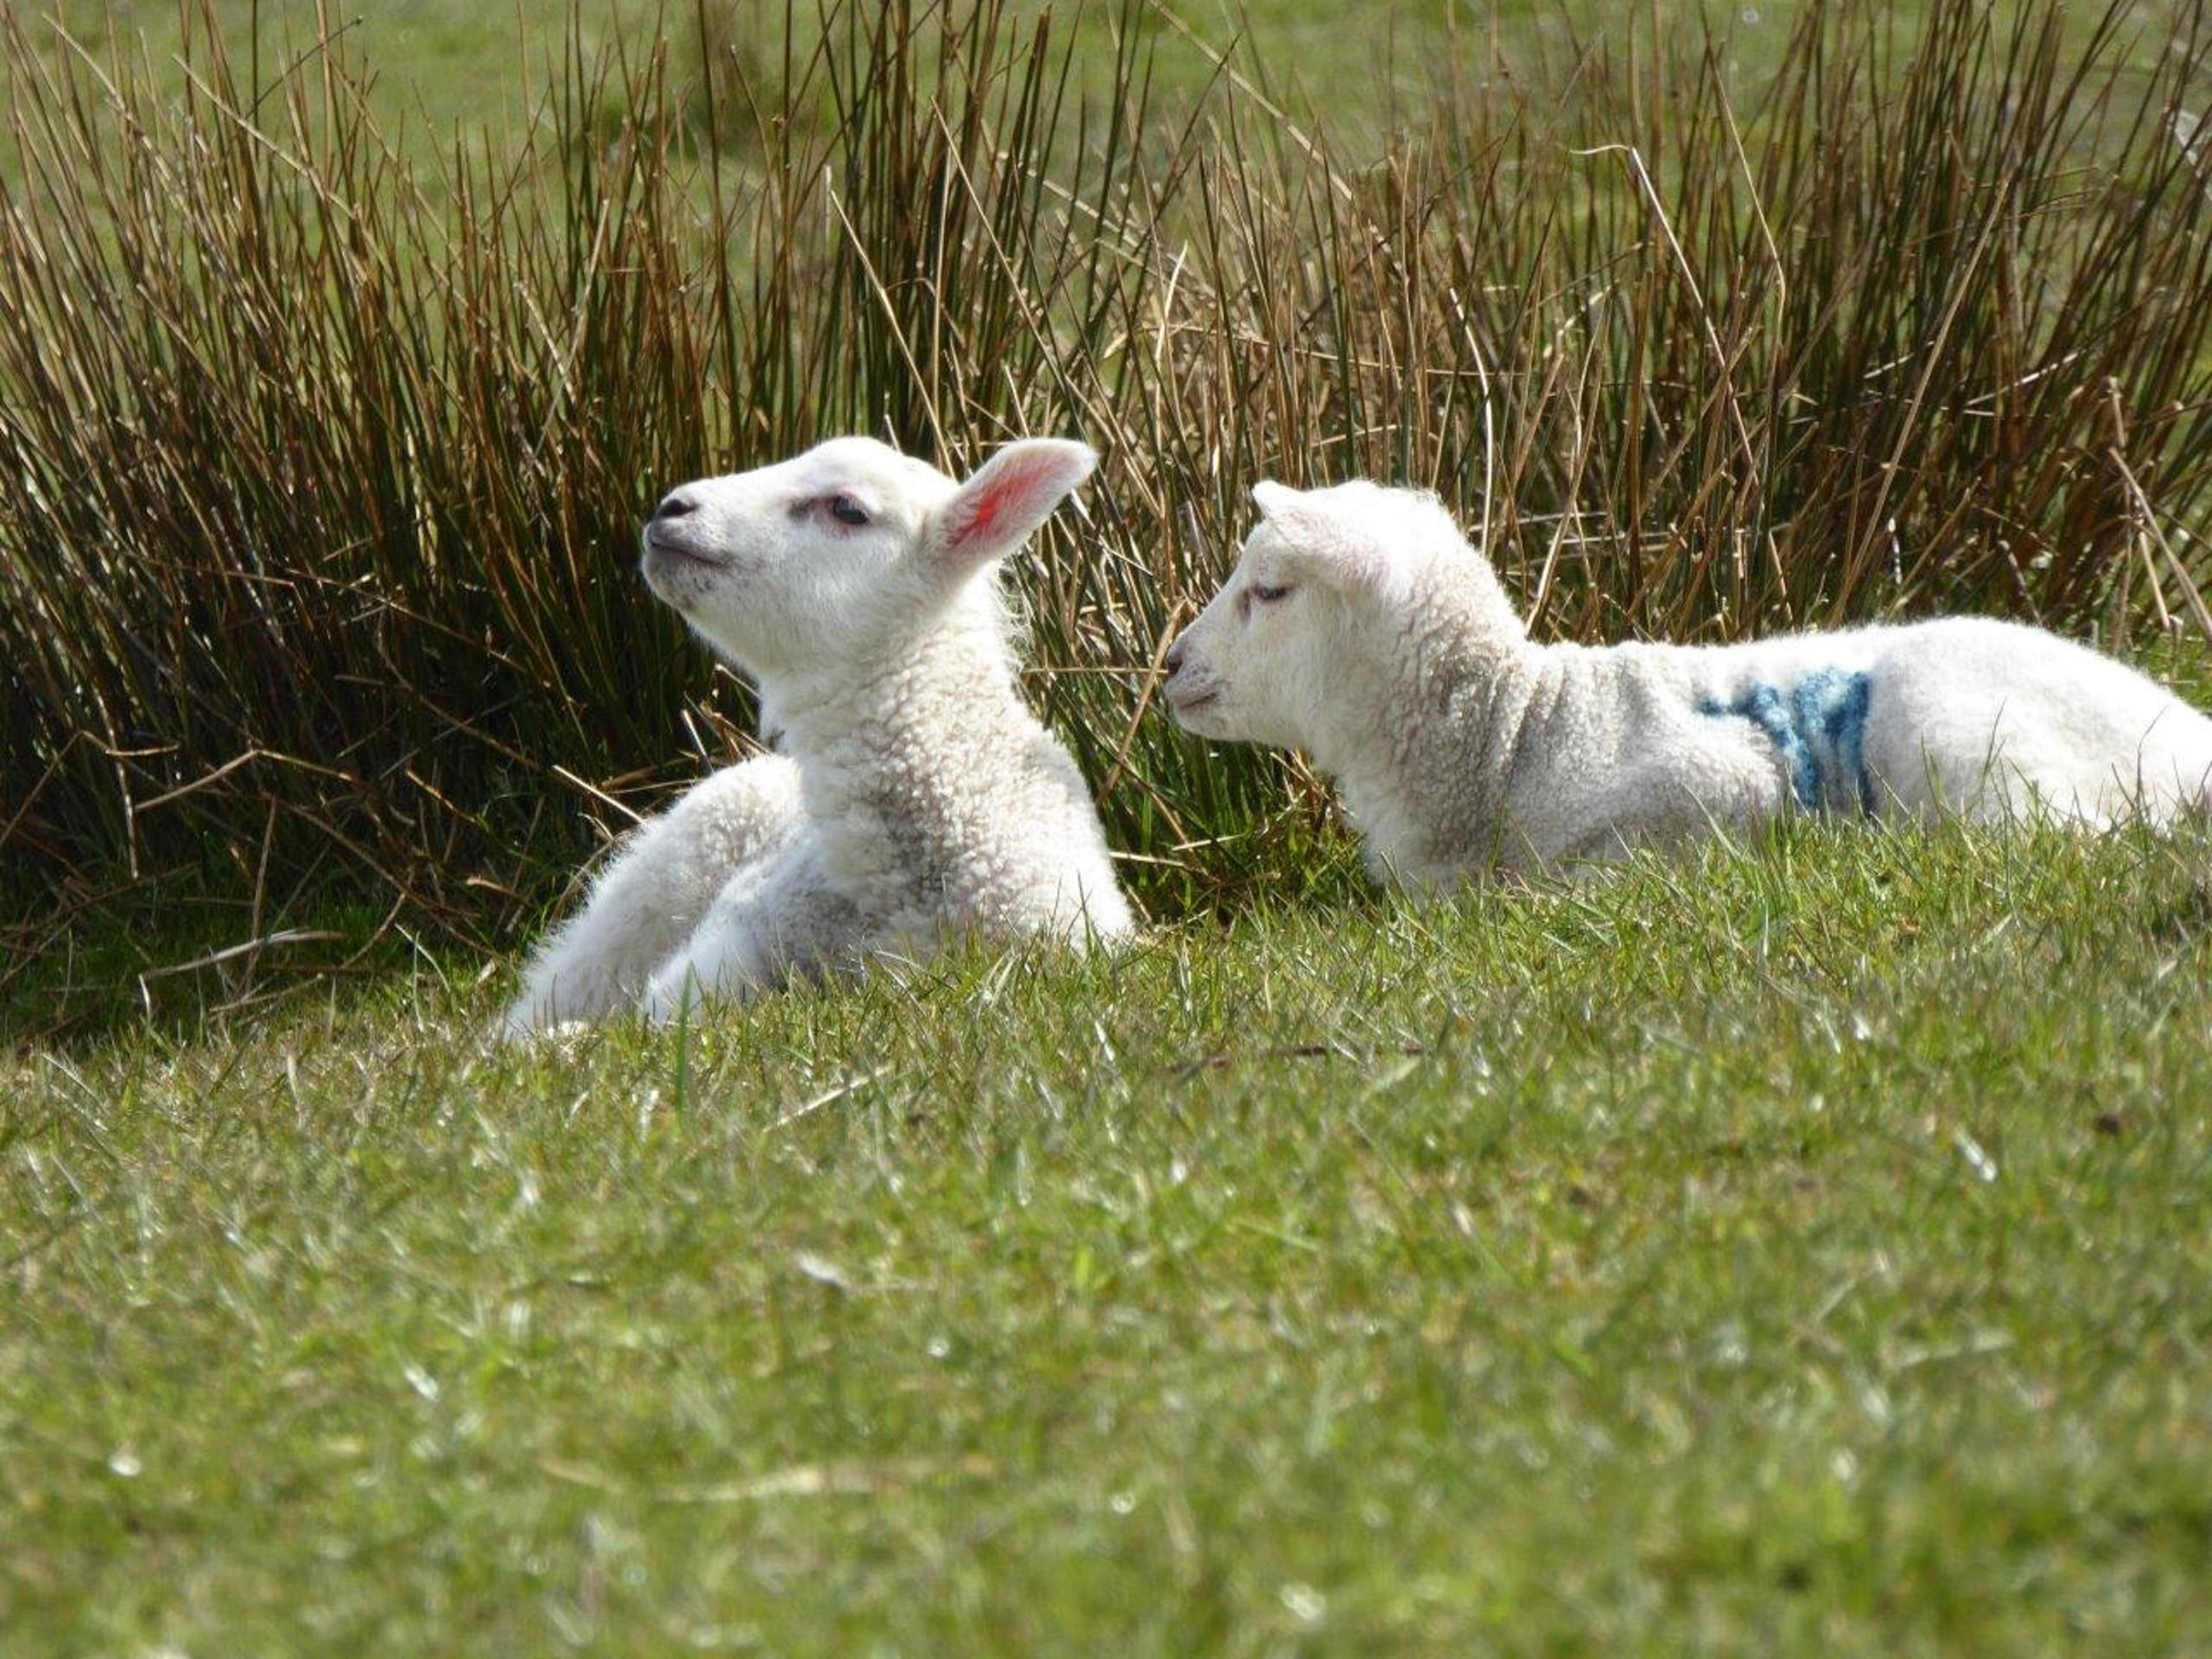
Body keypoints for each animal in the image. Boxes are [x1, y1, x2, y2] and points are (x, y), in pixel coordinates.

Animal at [1159, 480, 2212, 898]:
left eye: (1269, 591)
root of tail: (2185, 737)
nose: (1167, 665)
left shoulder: (1716, 785)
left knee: (2063, 835)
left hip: (1961, 730)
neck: (1510, 735)